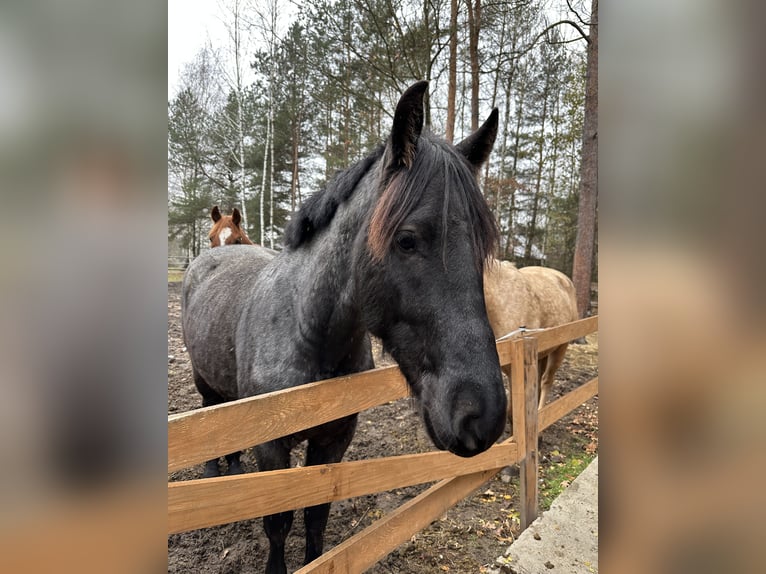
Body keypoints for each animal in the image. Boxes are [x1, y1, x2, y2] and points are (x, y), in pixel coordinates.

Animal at [182, 82, 510, 574]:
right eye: (406, 239)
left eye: (483, 246)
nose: (480, 415)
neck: (307, 332)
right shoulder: (272, 447)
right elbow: (278, 523)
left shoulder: (334, 441)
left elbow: (316, 517)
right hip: (204, 384)